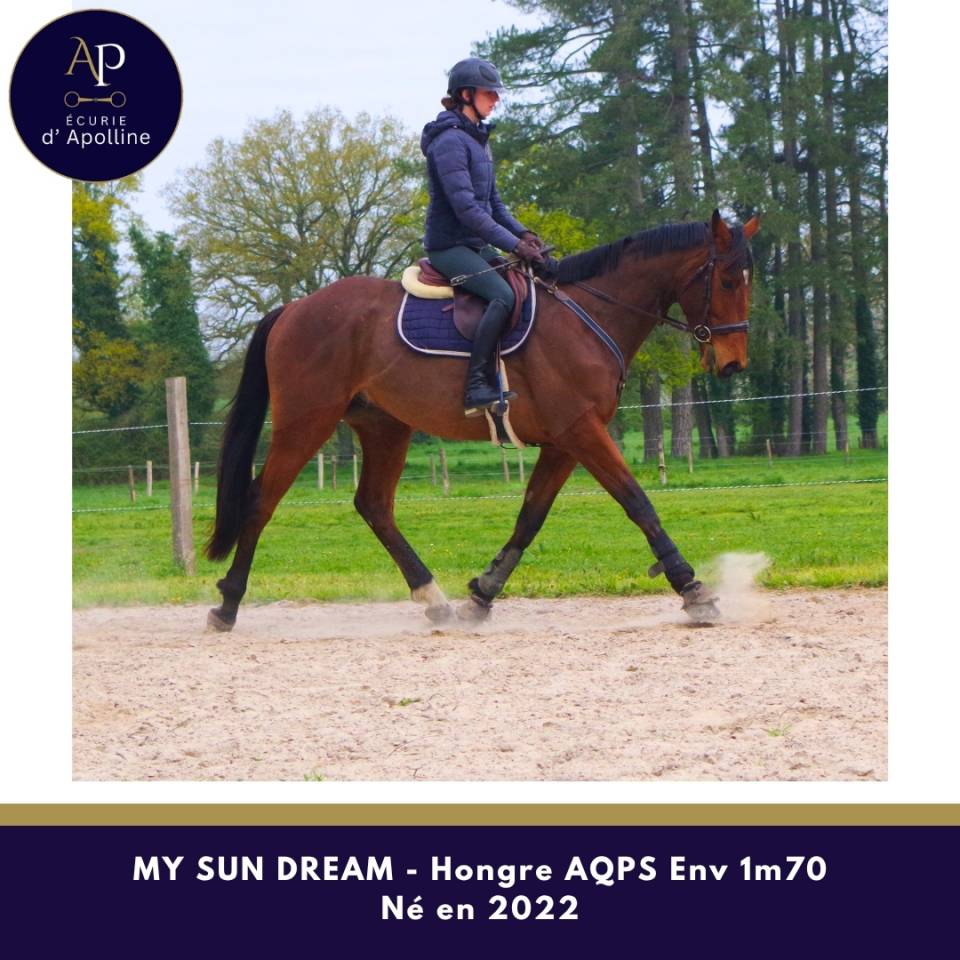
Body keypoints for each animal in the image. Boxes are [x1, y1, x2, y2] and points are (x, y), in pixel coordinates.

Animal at [206, 210, 759, 631]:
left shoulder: (564, 442)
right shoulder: (582, 432)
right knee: (261, 500)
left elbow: (529, 518)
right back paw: (228, 603)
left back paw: (435, 600)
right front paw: (693, 589)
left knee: (375, 506)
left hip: (385, 427)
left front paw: (482, 594)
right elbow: (639, 503)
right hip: (306, 422)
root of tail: (296, 307)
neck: (588, 314)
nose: (734, 364)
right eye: (728, 280)